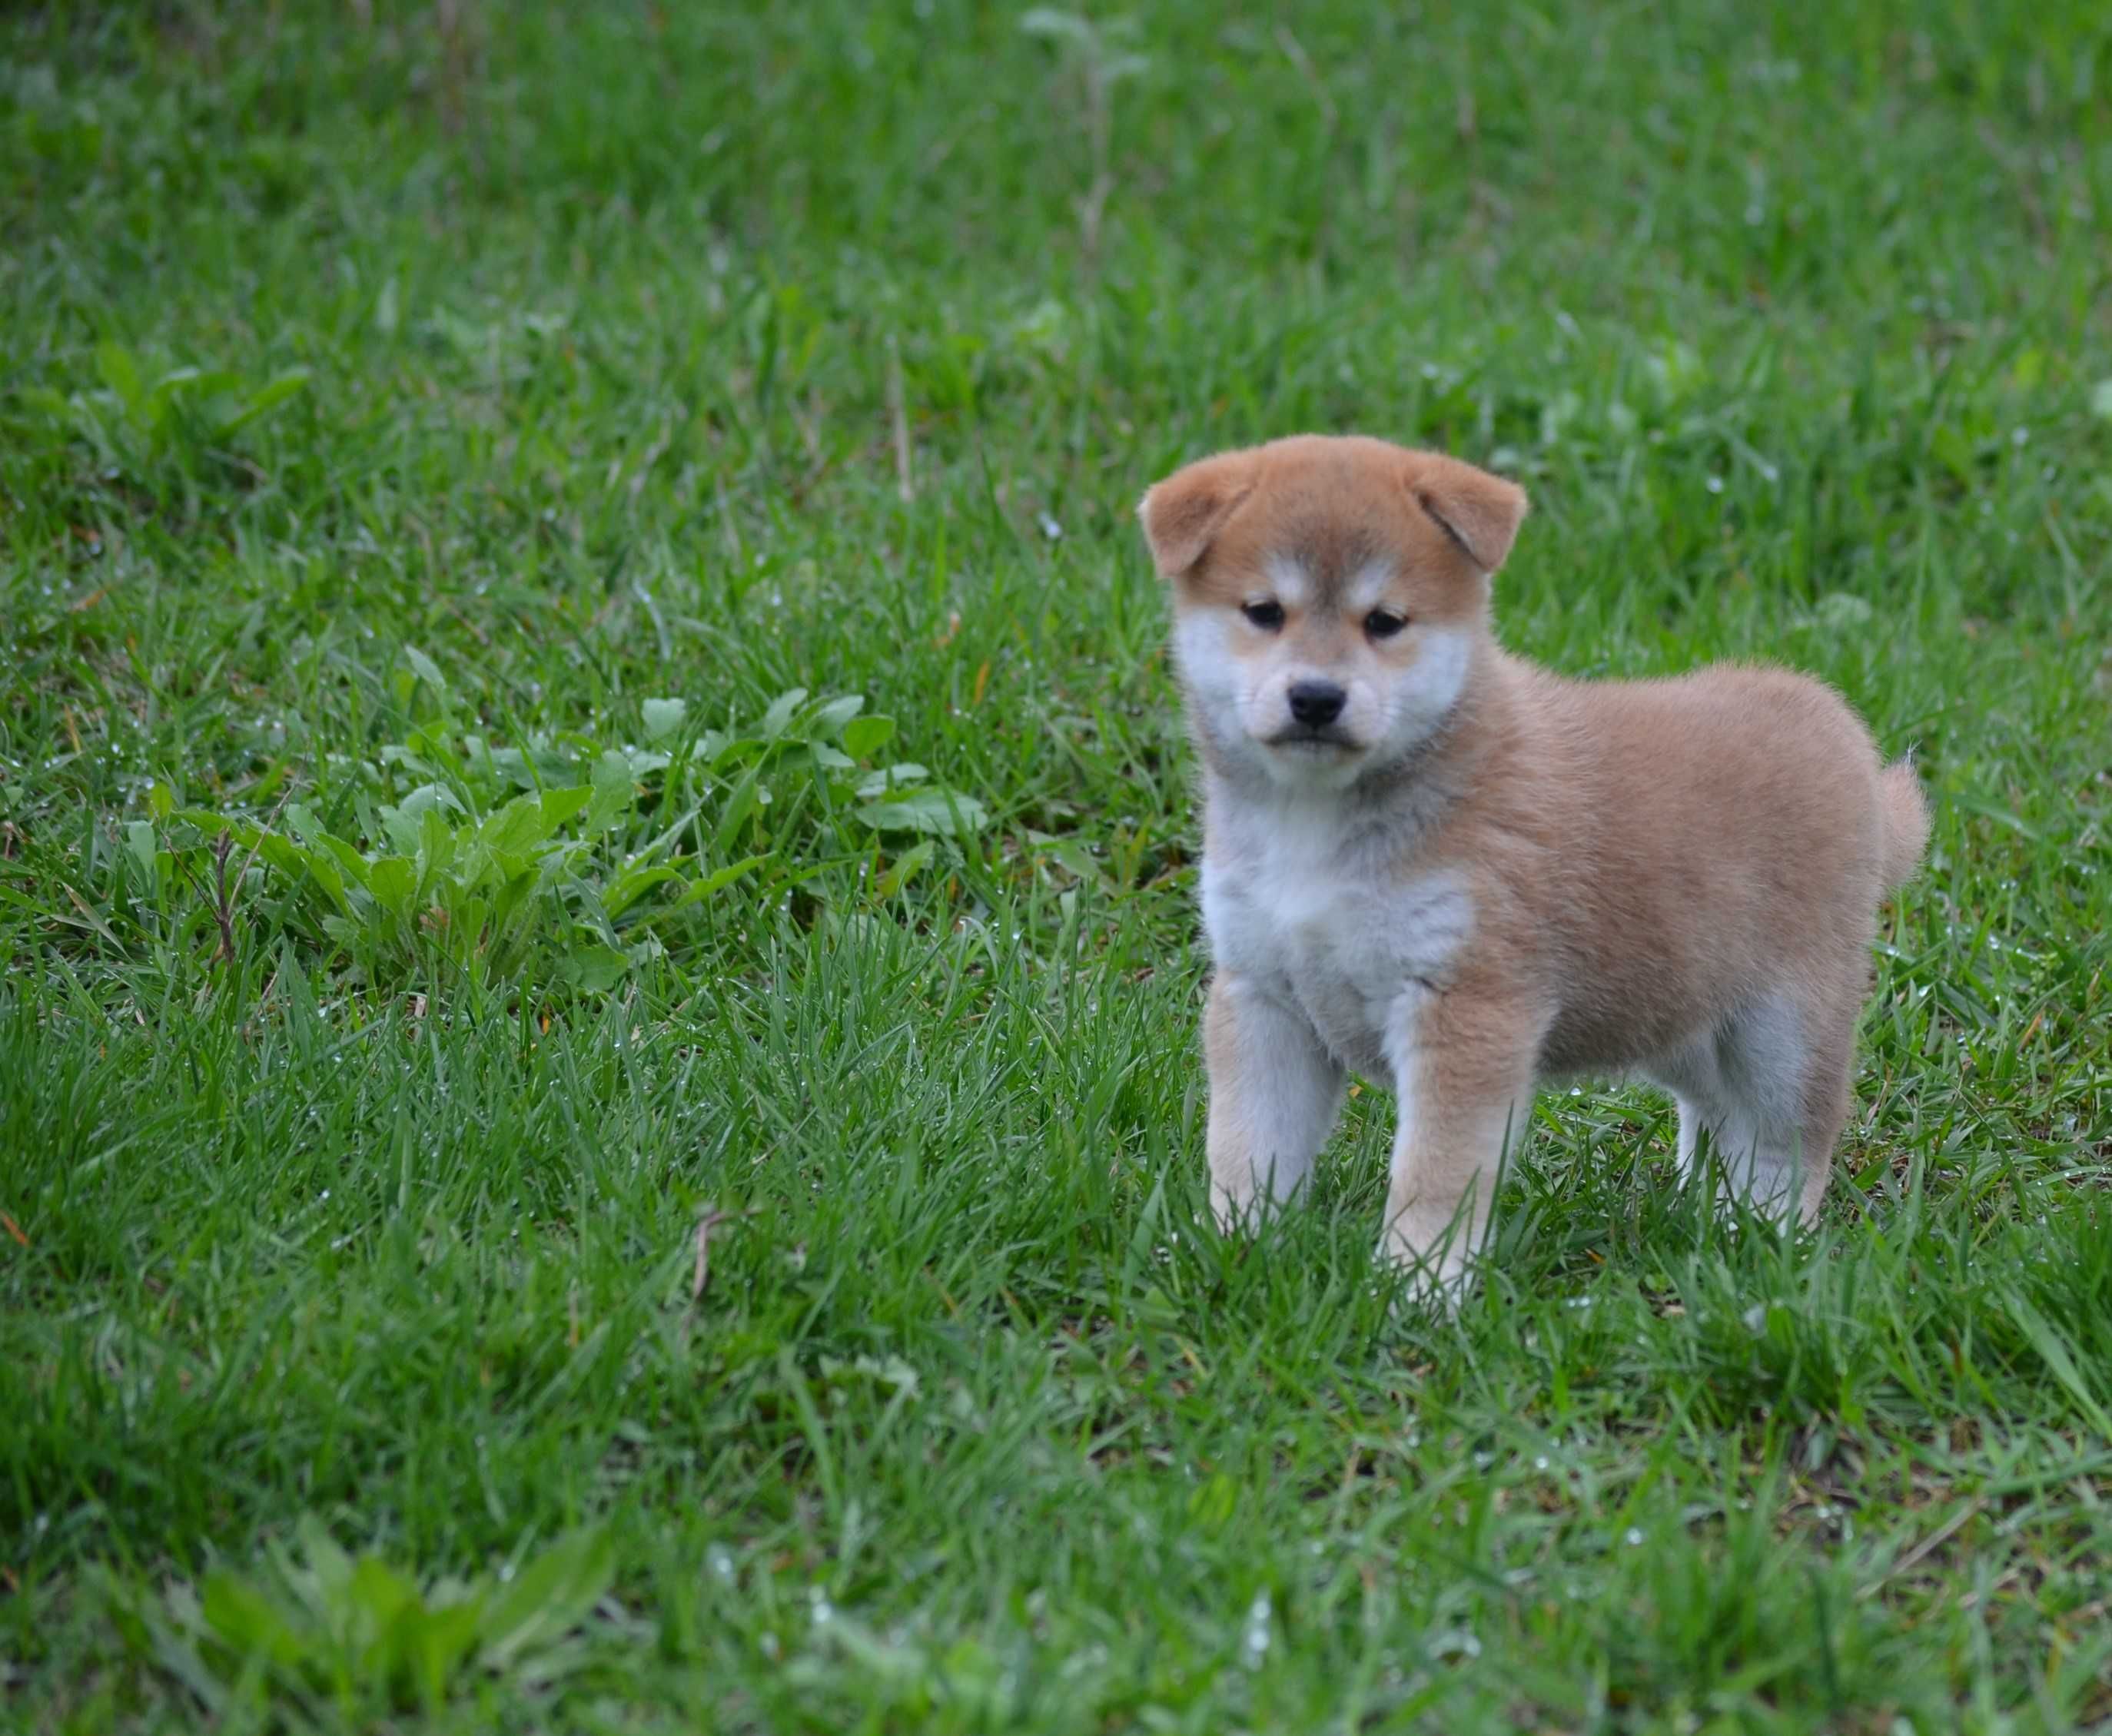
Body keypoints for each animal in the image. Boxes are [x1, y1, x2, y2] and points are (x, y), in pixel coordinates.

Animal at [1140, 441, 1934, 1300]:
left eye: (1385, 621)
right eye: (1263, 612)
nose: (1316, 697)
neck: (1316, 826)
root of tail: (1843, 734)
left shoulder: (1468, 1008)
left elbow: (1434, 1174)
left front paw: (1418, 1288)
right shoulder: (1263, 997)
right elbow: (1249, 1146)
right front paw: (1232, 1249)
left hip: (1783, 1028)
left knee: (1788, 1142)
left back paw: (1758, 1237)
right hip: (1680, 1009)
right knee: (1717, 1110)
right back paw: (1701, 1205)